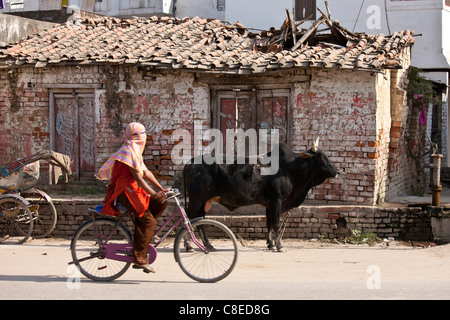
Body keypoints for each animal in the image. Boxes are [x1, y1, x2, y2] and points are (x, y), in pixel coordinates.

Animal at [182, 141, 338, 251]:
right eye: (321, 157)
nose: (336, 171)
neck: (290, 169)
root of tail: (191, 162)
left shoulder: (269, 204)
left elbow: (268, 223)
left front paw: (270, 244)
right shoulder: (277, 200)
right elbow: (276, 223)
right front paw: (279, 246)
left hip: (203, 201)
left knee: (199, 221)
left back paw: (208, 246)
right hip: (196, 200)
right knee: (188, 219)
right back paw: (189, 246)